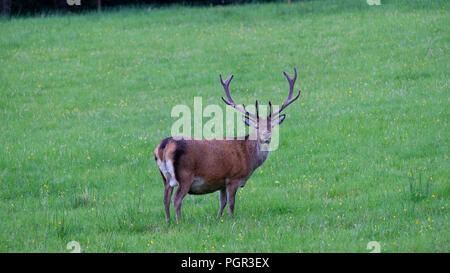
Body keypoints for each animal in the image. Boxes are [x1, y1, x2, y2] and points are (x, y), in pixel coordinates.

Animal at [155, 68, 302, 221]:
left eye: (271, 126)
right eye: (256, 127)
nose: (267, 135)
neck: (248, 158)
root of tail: (164, 145)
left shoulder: (221, 182)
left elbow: (222, 202)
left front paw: (218, 218)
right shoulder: (233, 178)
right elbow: (231, 203)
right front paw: (231, 218)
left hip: (165, 177)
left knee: (165, 198)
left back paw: (168, 221)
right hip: (185, 175)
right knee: (176, 199)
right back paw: (179, 221)